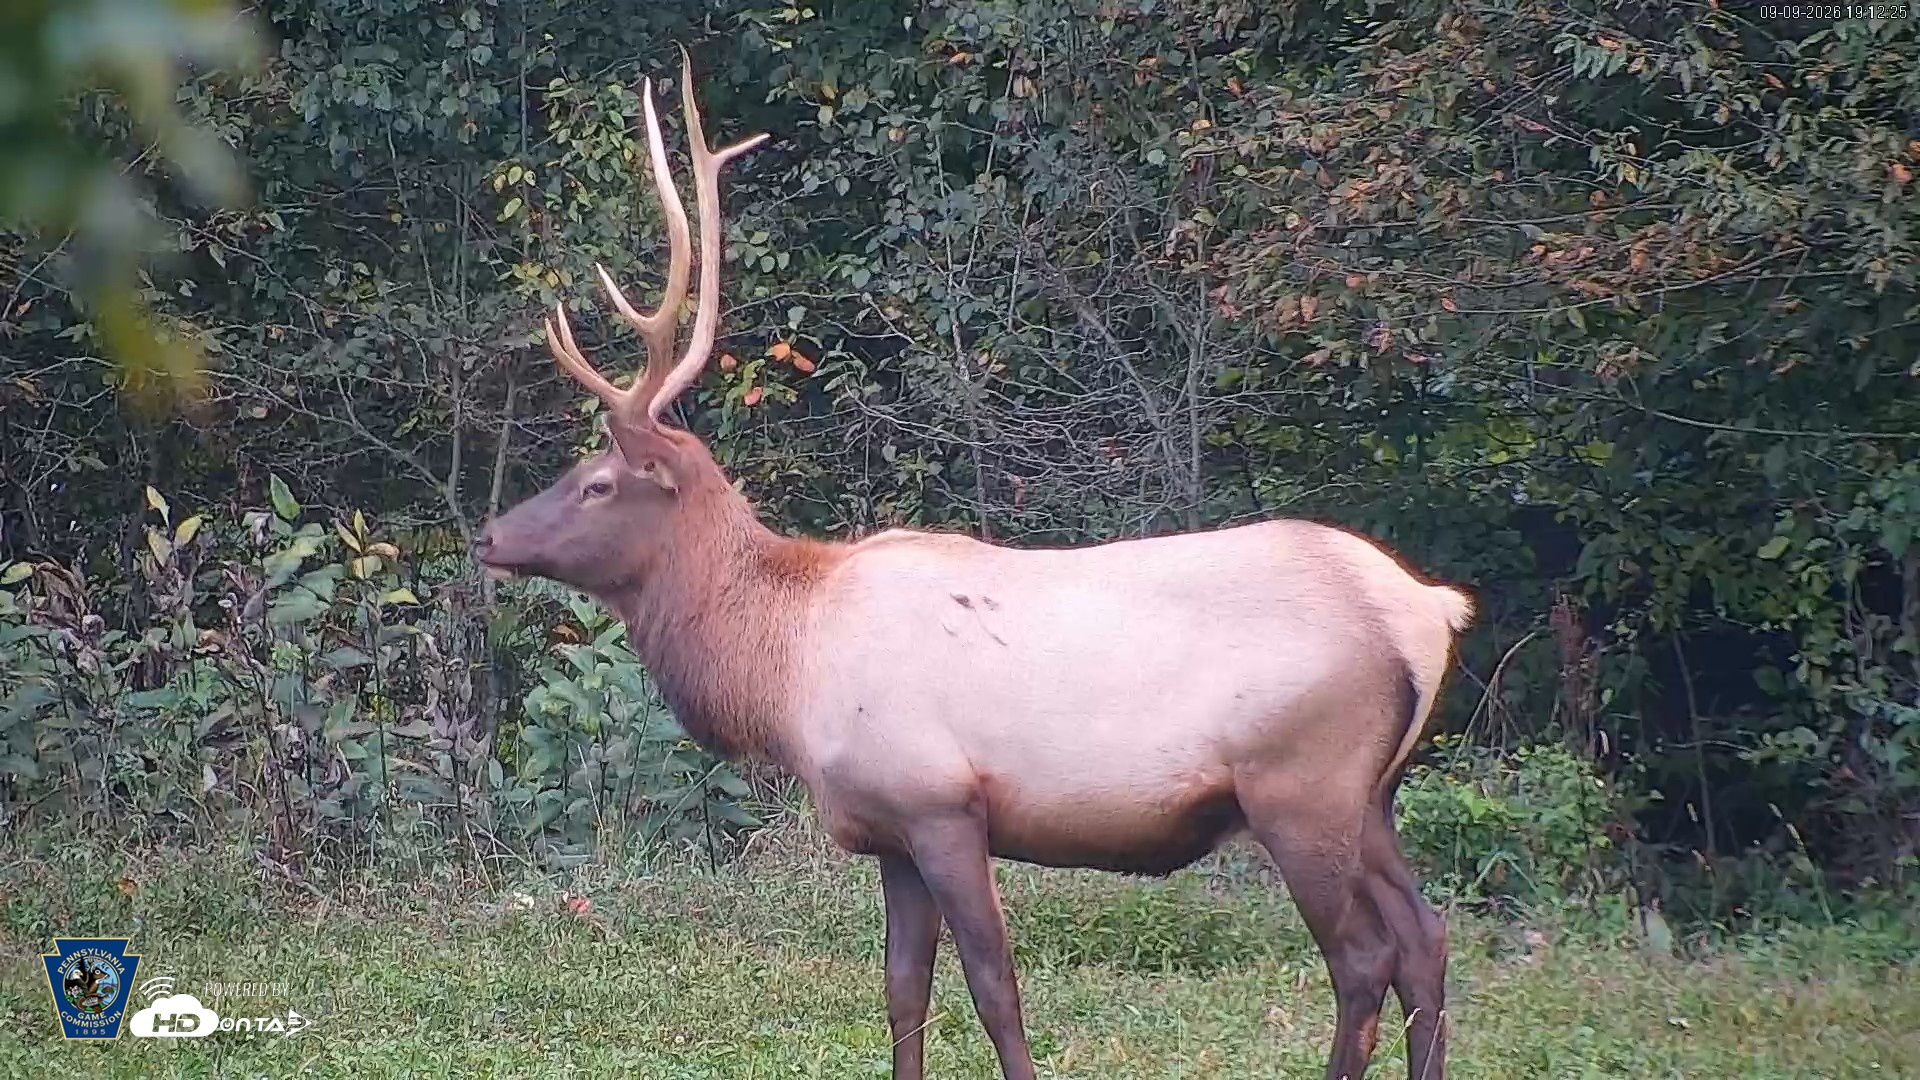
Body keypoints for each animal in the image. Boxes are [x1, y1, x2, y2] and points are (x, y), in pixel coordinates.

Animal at [473, 52, 1473, 1080]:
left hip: (1300, 782)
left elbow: (995, 988)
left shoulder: (942, 803)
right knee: (1428, 940)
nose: (489, 536)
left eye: (597, 482)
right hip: (1373, 793)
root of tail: (1428, 611)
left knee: (1364, 959)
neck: (785, 672)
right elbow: (902, 991)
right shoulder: (890, 831)